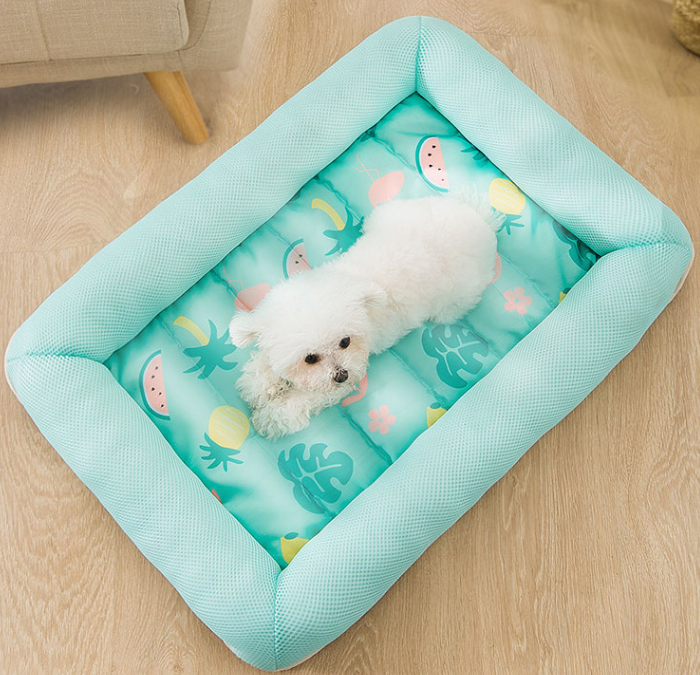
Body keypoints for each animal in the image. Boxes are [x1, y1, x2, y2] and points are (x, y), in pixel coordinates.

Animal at [229, 195, 499, 439]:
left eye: (345, 342)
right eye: (310, 358)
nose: (342, 375)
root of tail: (478, 217)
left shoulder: (336, 386)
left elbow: (301, 399)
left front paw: (270, 417)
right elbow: (266, 361)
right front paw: (257, 384)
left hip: (452, 304)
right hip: (391, 212)